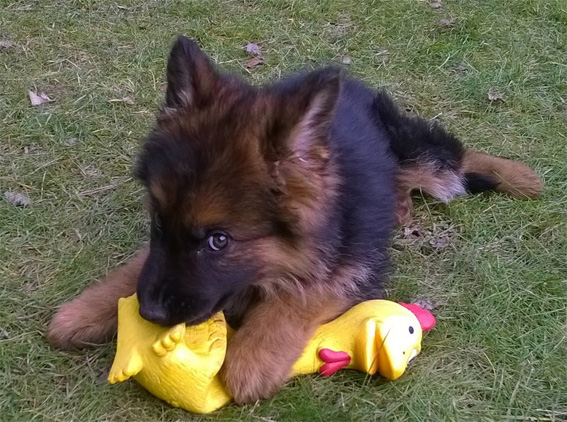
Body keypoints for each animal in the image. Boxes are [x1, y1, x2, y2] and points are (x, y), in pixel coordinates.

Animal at [46, 36, 542, 404]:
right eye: (157, 222)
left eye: (219, 240)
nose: (148, 313)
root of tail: (356, 90)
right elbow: (136, 265)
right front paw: (86, 309)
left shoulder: (355, 264)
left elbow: (303, 293)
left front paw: (252, 357)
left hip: (416, 151)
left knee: (448, 156)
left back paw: (523, 177)